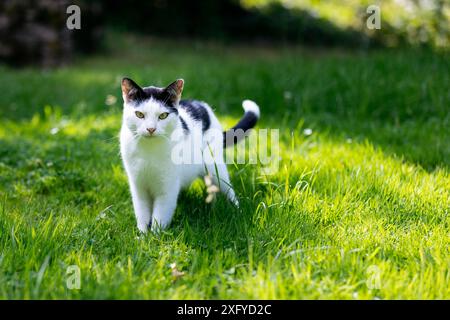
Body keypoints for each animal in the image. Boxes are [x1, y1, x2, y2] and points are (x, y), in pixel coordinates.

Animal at [119, 77, 260, 232]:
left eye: (163, 116)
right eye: (139, 114)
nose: (151, 129)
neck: (149, 149)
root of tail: (202, 105)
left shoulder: (167, 188)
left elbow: (160, 214)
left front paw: (156, 235)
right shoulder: (138, 186)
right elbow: (142, 212)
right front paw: (143, 234)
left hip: (214, 166)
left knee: (228, 189)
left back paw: (237, 210)